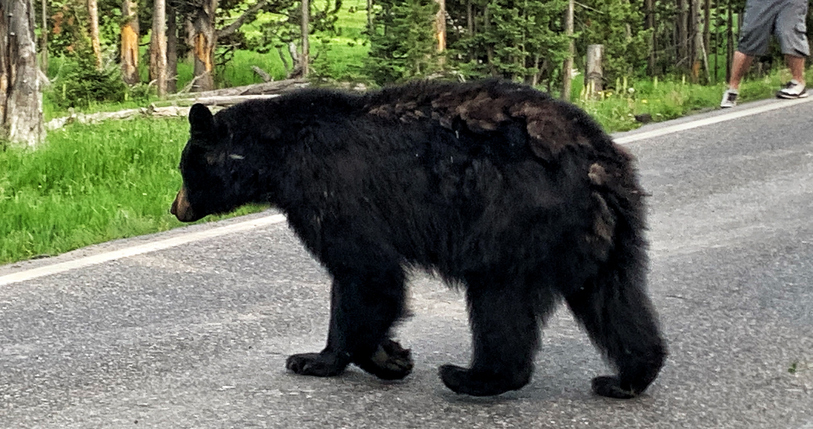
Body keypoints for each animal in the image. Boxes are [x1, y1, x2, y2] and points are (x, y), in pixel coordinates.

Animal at [170, 79, 667, 398]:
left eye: (183, 167)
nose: (175, 208)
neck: (279, 155)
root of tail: (599, 161)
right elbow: (353, 282)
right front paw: (326, 357)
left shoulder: (332, 191)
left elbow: (367, 272)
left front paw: (379, 358)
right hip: (604, 234)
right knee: (615, 298)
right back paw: (626, 379)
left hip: (516, 218)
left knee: (499, 297)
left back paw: (471, 376)